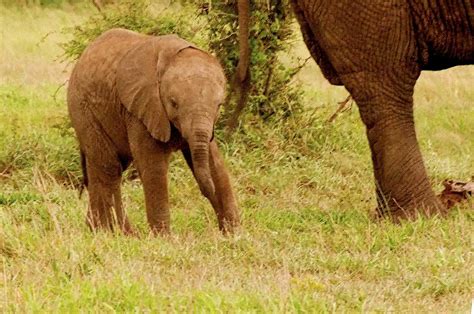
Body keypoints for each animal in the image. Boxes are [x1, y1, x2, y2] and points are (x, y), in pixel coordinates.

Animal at [67, 28, 241, 234]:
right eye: (173, 103)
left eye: (219, 105)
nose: (206, 192)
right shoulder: (140, 108)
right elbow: (154, 167)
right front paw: (163, 237)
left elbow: (216, 164)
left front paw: (234, 234)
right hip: (83, 110)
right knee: (109, 168)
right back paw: (117, 233)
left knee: (108, 167)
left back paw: (102, 230)